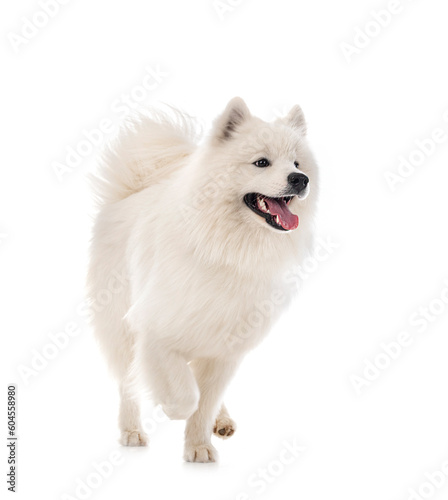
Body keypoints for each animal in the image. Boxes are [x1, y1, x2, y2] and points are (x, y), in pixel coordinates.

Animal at [87, 98, 318, 464]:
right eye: (261, 162)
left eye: (297, 162)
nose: (300, 179)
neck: (227, 249)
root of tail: (128, 194)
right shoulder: (155, 332)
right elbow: (185, 395)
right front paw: (172, 409)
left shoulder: (226, 347)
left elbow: (205, 401)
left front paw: (198, 446)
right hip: (119, 328)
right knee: (128, 384)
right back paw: (132, 431)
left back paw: (221, 421)